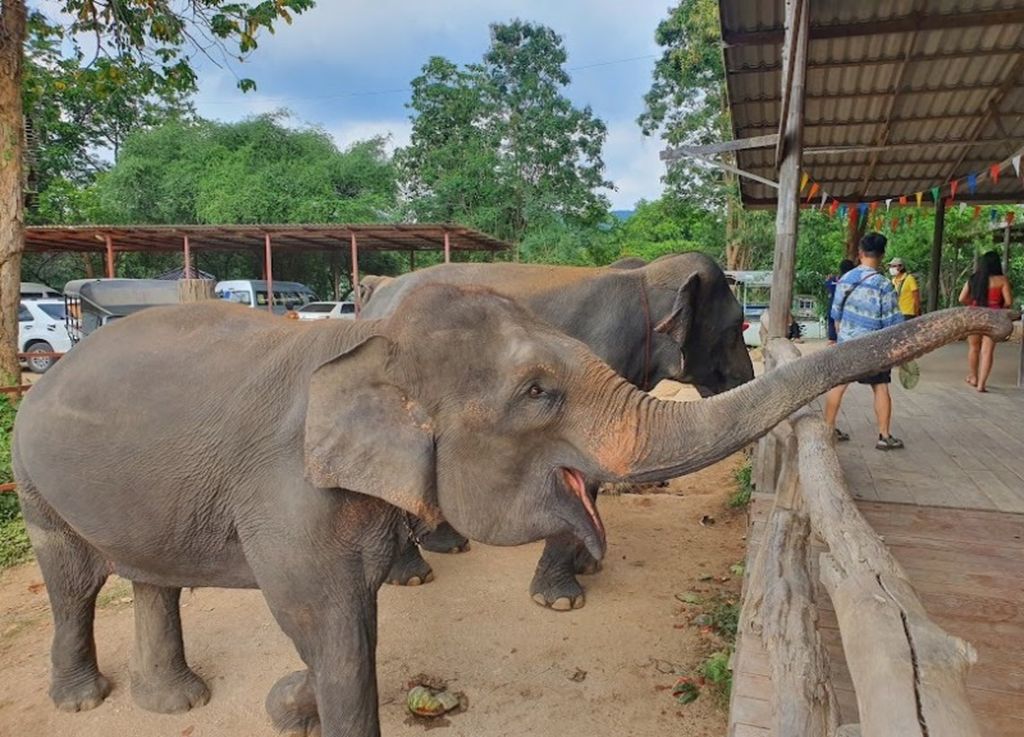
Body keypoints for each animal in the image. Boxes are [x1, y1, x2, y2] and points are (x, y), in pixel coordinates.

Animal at [361, 252, 755, 609]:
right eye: (735, 329)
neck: (645, 277)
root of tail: (379, 288)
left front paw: (589, 567)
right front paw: (562, 600)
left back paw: (448, 545)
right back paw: (411, 576)